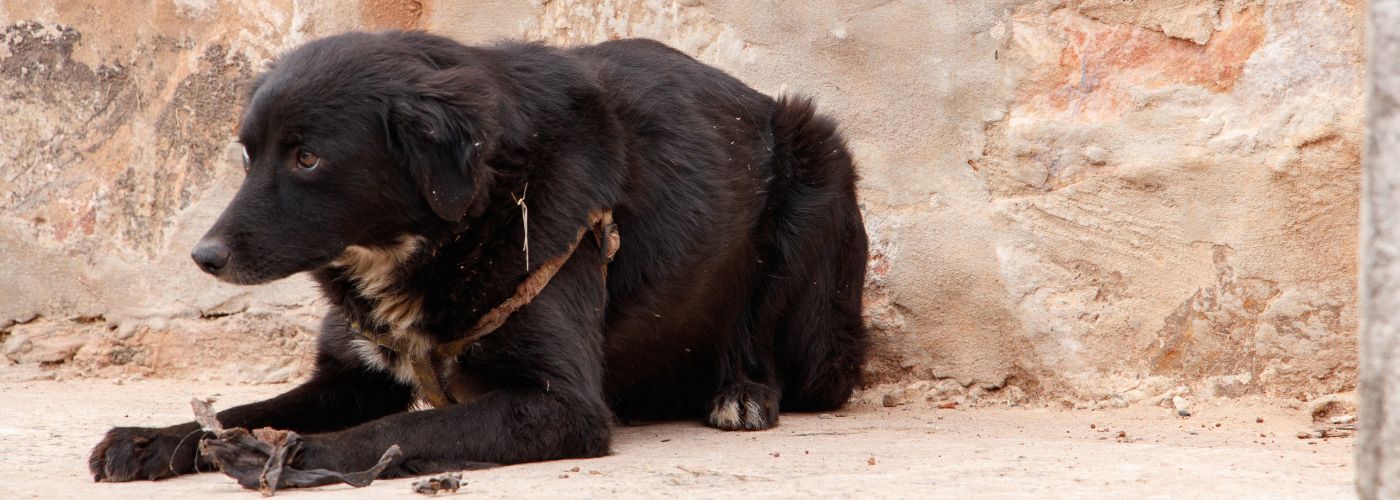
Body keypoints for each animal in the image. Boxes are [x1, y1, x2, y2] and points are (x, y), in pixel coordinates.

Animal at [90, 30, 862, 478]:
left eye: (307, 158)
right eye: (249, 156)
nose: (205, 256)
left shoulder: (561, 404)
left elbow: (402, 426)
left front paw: (294, 454)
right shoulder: (353, 376)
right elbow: (239, 408)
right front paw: (155, 439)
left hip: (818, 170)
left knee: (800, 366)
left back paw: (744, 392)